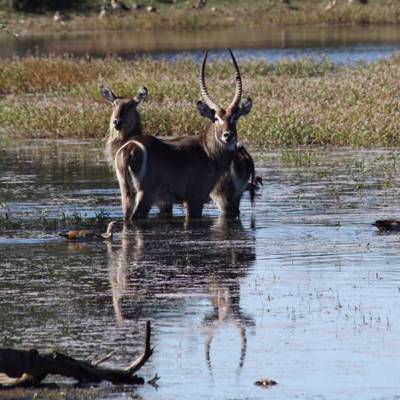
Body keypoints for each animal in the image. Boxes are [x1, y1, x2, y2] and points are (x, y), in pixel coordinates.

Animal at [109, 49, 252, 220]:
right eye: (216, 118)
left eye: (235, 117)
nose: (228, 135)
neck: (208, 151)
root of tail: (130, 147)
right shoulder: (195, 198)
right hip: (146, 194)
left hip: (126, 193)